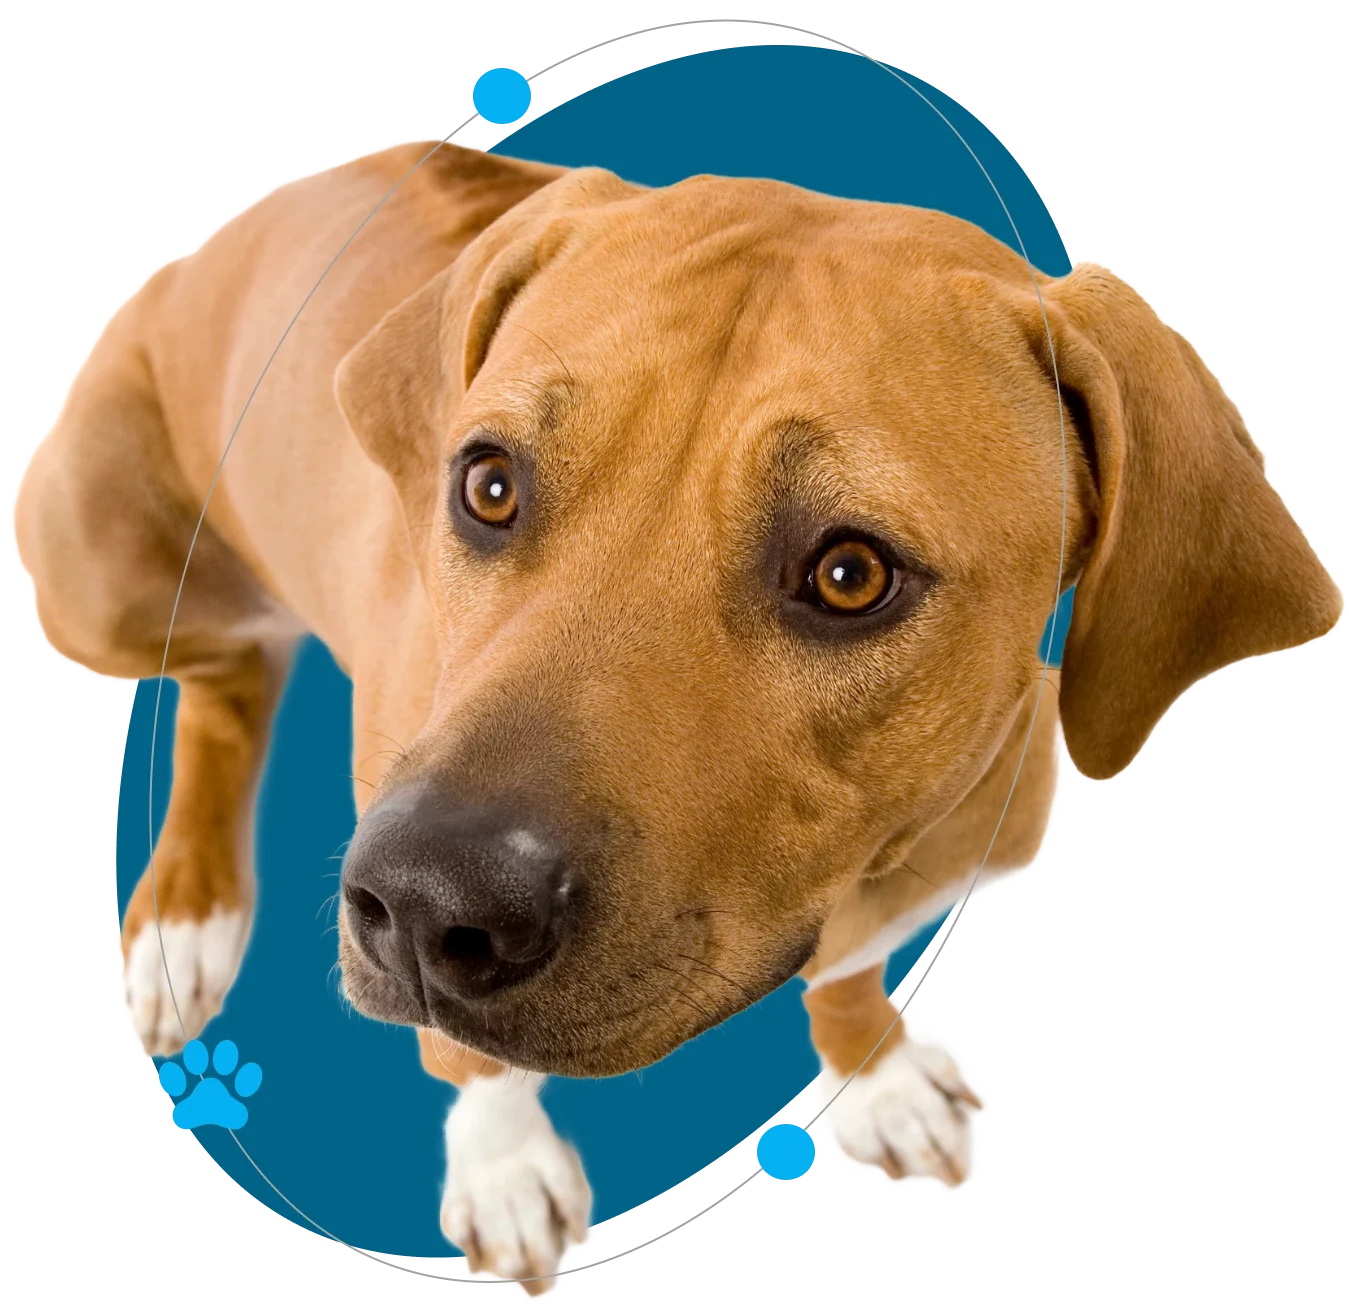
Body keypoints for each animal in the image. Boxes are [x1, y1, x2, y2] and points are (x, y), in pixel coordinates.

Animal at [15, 138, 1342, 1288]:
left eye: (849, 572)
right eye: (486, 484)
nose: (429, 903)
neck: (875, 858)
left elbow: (845, 975)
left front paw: (871, 1070)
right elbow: (469, 1060)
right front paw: (503, 1166)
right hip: (91, 564)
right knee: (219, 679)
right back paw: (185, 913)